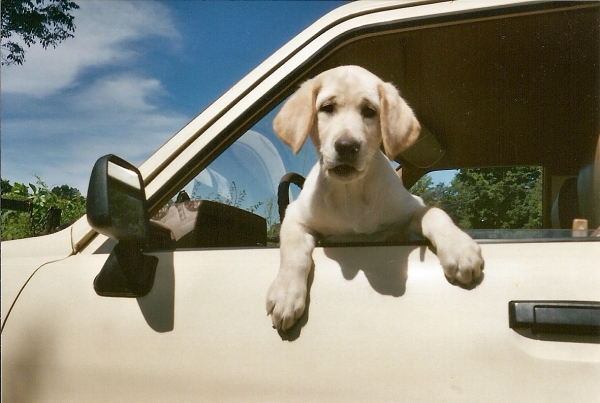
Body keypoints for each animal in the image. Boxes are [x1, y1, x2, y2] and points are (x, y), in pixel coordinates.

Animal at [268, 65, 482, 332]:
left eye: (369, 111)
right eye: (327, 107)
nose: (347, 146)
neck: (350, 192)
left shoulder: (412, 208)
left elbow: (435, 213)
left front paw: (460, 249)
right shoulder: (296, 216)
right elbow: (293, 252)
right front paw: (286, 294)